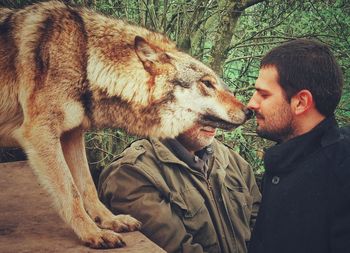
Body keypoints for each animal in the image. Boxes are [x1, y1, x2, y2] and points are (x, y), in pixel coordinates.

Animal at [0, 0, 252, 249]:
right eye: (207, 83)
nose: (249, 111)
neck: (85, 59)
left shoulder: (72, 135)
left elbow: (87, 186)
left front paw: (109, 221)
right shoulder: (40, 132)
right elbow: (72, 192)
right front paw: (92, 233)